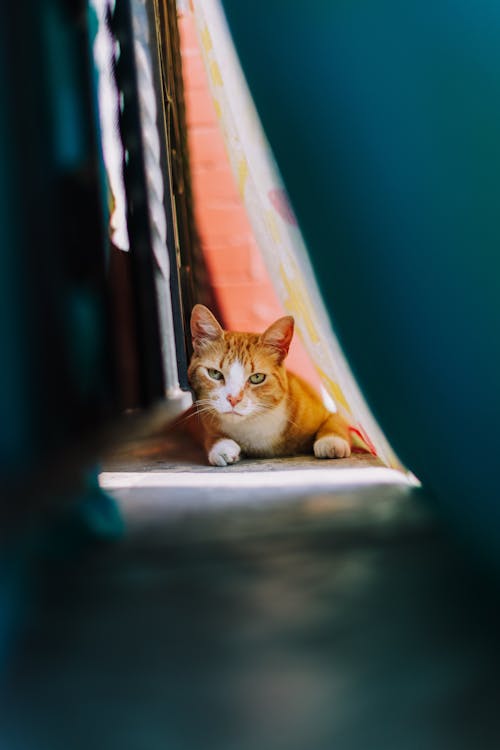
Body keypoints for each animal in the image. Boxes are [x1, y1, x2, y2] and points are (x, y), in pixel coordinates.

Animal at [188, 304, 352, 468]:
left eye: (257, 377)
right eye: (215, 373)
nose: (233, 399)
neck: (255, 423)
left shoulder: (327, 412)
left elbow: (335, 421)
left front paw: (331, 441)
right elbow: (207, 435)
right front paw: (221, 446)